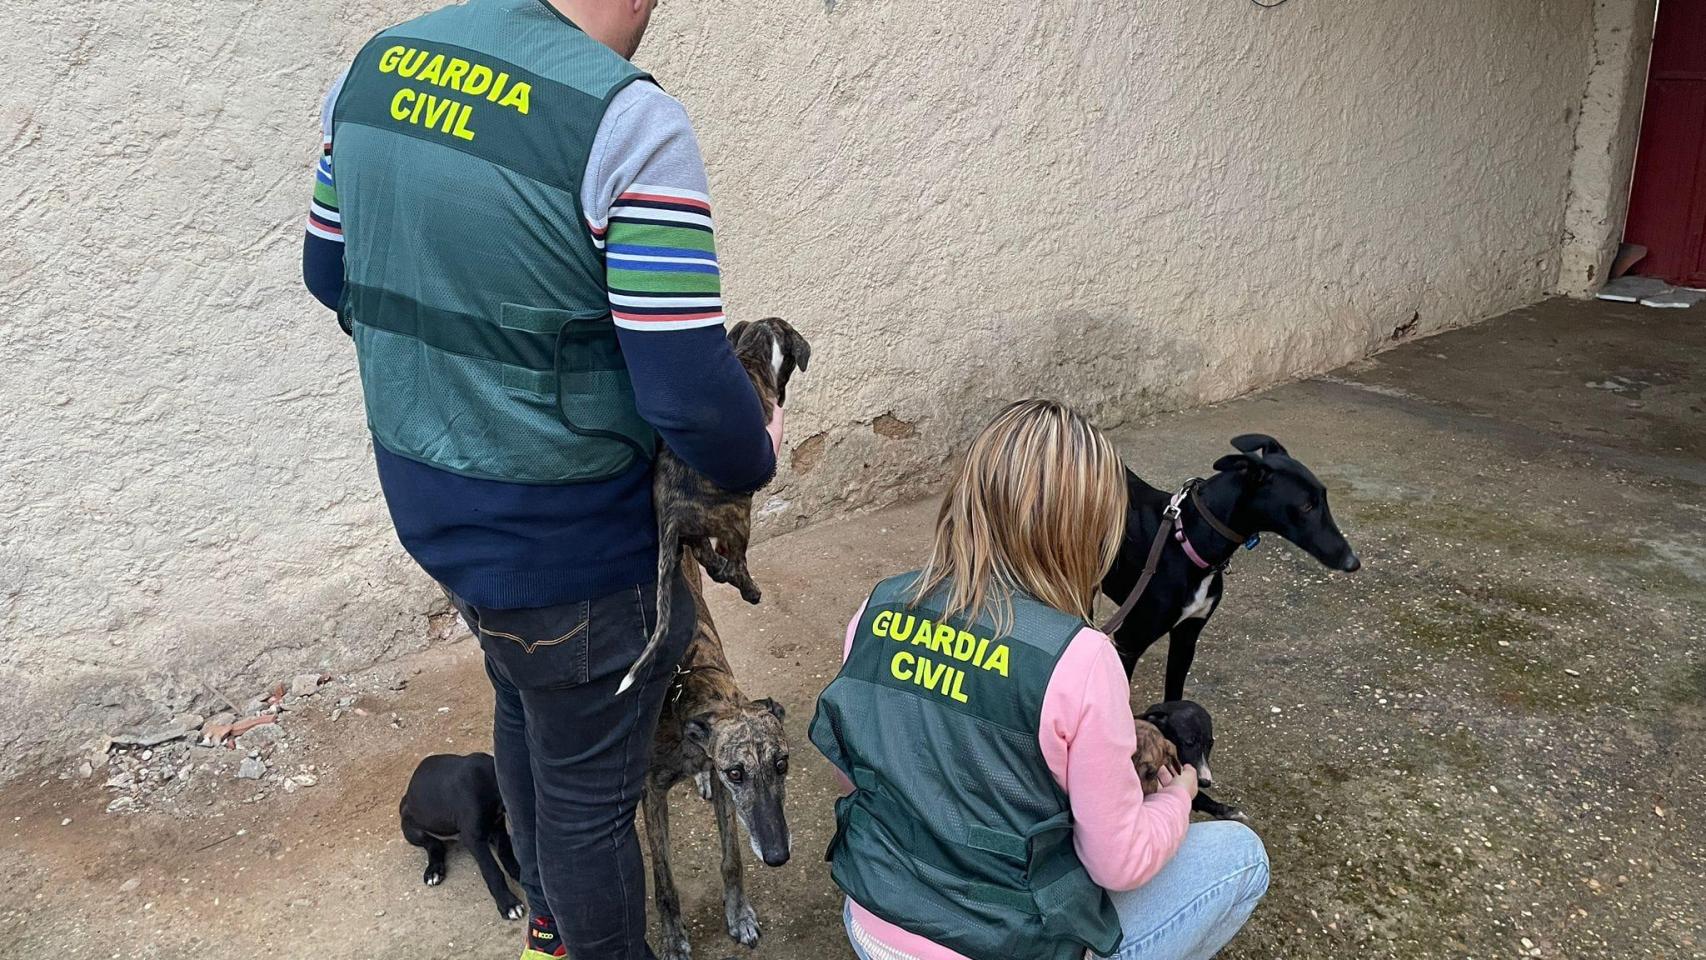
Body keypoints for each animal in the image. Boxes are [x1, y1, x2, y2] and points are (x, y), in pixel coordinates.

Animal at [400, 750, 525, 920]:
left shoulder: (498, 825)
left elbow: (506, 852)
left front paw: (520, 873)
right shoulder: (472, 838)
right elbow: (492, 870)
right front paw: (508, 903)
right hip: (411, 828)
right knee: (434, 845)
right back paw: (434, 870)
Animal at [620, 318, 812, 695]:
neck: (752, 352)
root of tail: (670, 512)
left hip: (697, 530)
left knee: (706, 556)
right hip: (738, 517)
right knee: (734, 563)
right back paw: (750, 589)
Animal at [644, 562, 791, 960]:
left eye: (782, 764)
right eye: (736, 773)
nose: (777, 856)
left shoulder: (720, 782)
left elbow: (732, 860)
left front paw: (739, 916)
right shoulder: (653, 792)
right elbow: (664, 882)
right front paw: (673, 939)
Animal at [1105, 433, 1357, 699]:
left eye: (1324, 497)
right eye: (1306, 506)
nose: (1353, 562)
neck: (1188, 539)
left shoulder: (1187, 635)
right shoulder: (1129, 642)